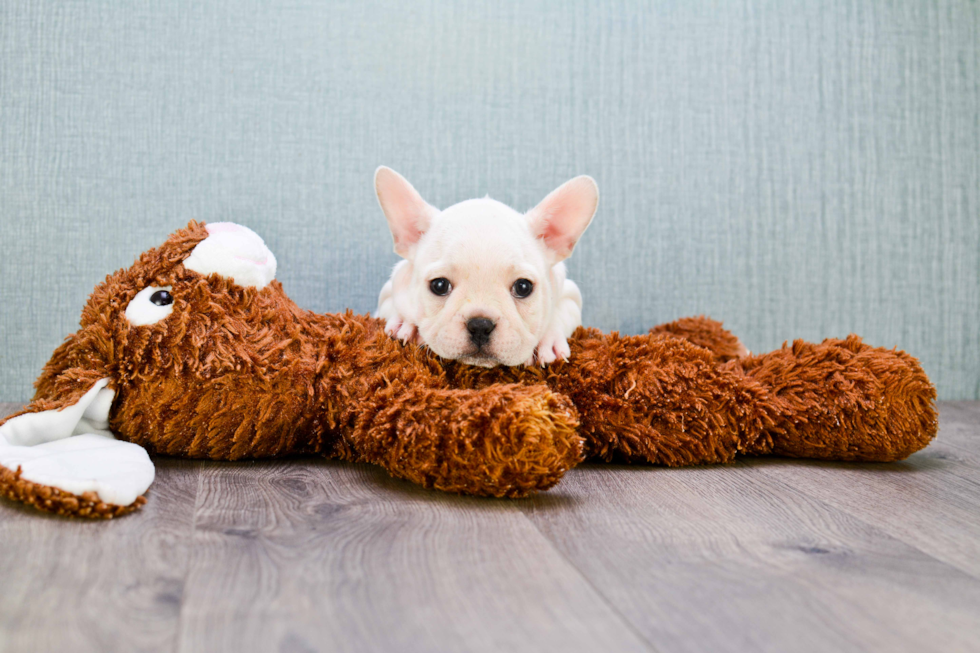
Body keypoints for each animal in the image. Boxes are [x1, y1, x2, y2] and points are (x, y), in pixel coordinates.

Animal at [372, 167, 596, 366]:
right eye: (439, 286)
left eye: (523, 287)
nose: (480, 325)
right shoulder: (390, 291)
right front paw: (407, 324)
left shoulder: (570, 295)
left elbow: (560, 313)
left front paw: (548, 340)